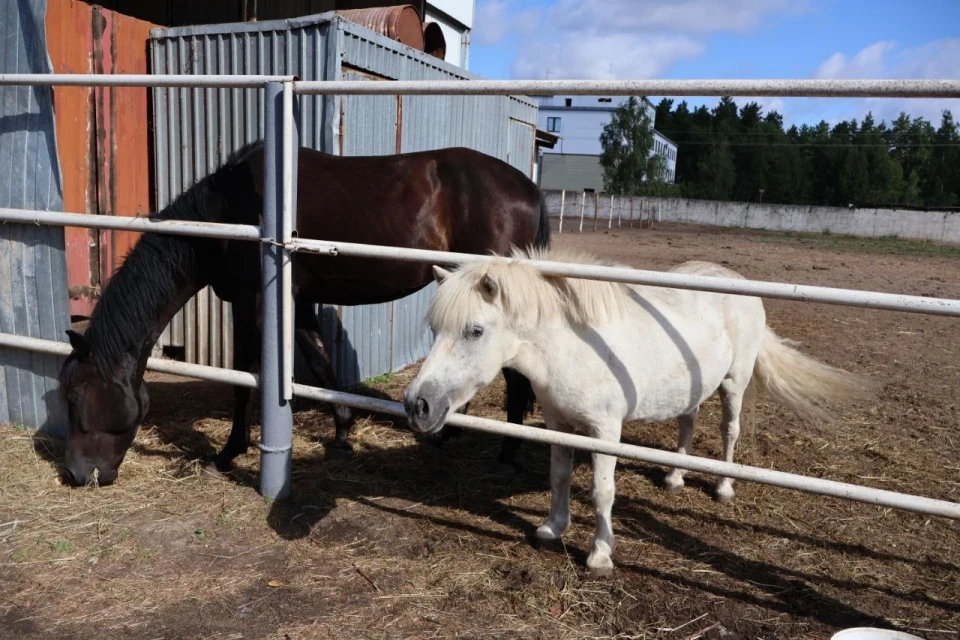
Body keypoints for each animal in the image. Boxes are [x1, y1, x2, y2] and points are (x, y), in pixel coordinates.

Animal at [60, 141, 552, 484]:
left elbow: (244, 378)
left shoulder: (251, 303)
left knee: (515, 377)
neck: (233, 213)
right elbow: (320, 362)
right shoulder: (295, 303)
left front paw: (228, 453)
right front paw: (342, 434)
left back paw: (507, 458)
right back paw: (448, 433)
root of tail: (528, 188)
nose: (77, 474)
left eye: (76, 396)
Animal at [404, 248, 876, 576]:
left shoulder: (605, 432)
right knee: (687, 424)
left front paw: (599, 555)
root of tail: (738, 282)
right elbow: (559, 478)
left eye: (475, 331)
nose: (417, 404)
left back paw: (723, 487)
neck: (572, 345)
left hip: (734, 384)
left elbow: (602, 492)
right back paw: (674, 478)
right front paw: (552, 528)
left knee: (729, 431)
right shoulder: (558, 424)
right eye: (434, 329)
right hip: (690, 389)